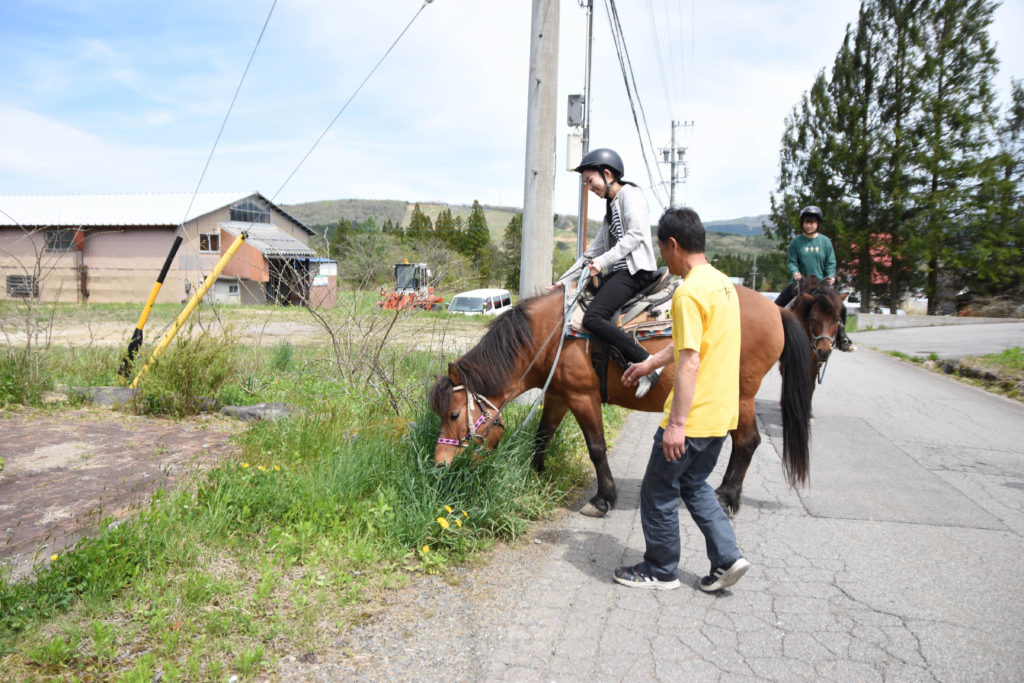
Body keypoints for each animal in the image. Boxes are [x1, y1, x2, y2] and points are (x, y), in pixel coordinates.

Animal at [425, 284, 815, 518]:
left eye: (454, 414)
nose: (439, 464)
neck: (550, 336)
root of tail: (776, 310)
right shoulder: (558, 394)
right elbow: (543, 436)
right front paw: (535, 477)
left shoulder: (583, 396)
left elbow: (596, 447)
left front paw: (603, 498)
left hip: (742, 395)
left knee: (747, 441)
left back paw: (726, 496)